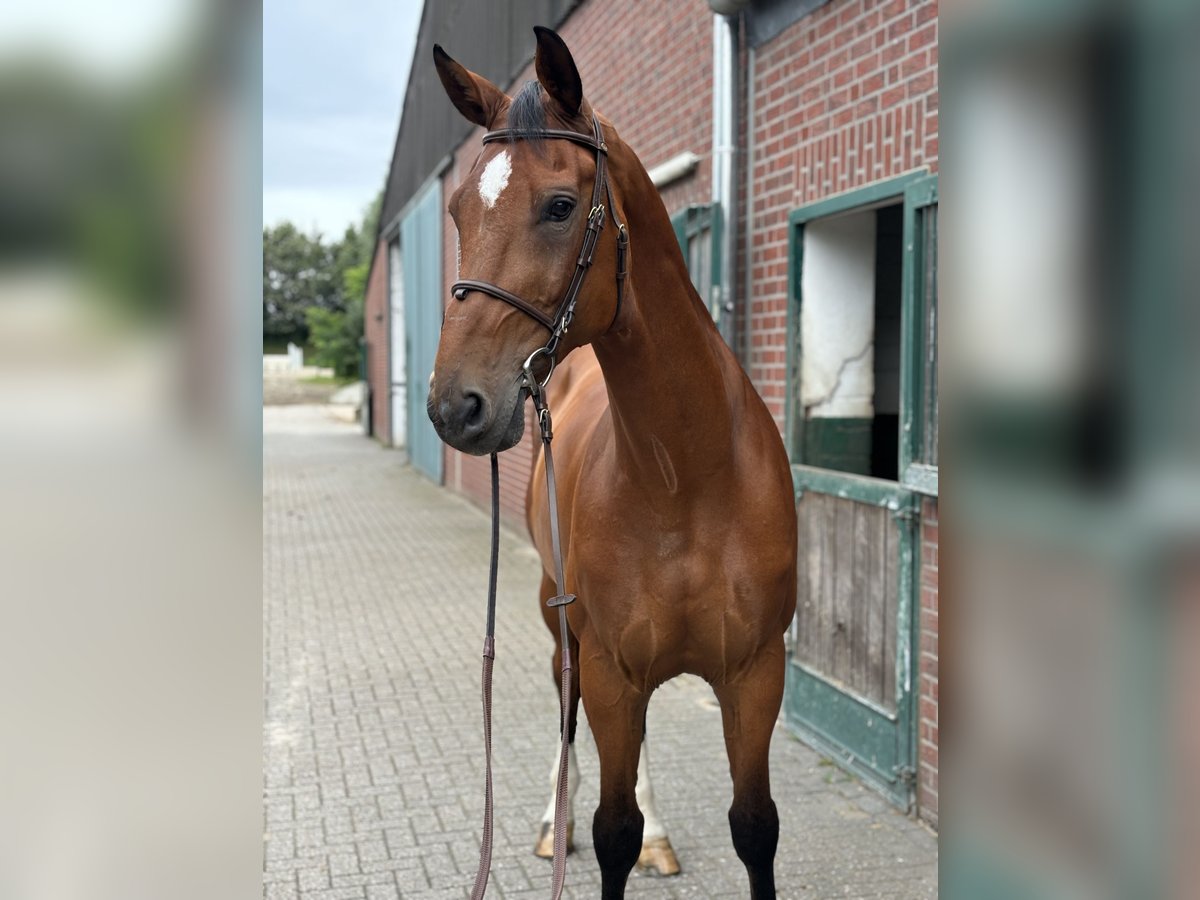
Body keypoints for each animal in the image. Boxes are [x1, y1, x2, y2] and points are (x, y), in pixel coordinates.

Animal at [429, 28, 796, 900]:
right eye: (458, 211)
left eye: (560, 206)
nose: (455, 406)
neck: (686, 474)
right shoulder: (609, 666)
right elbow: (610, 832)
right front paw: (584, 829)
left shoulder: (757, 673)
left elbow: (755, 829)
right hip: (559, 620)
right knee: (566, 720)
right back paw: (548, 823)